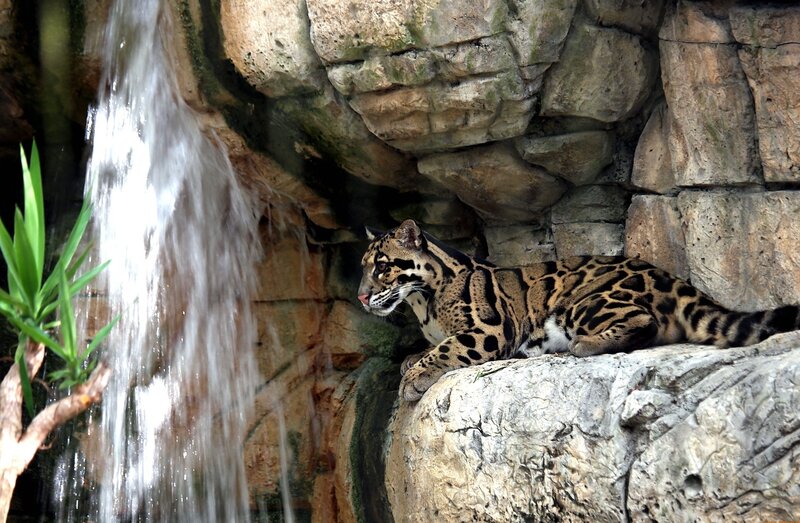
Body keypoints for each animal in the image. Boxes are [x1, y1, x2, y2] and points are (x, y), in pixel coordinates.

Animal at [357, 219, 800, 401]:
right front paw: (410, 360)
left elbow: (446, 349)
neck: (422, 302)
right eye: (363, 267)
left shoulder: (490, 328)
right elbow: (429, 347)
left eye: (382, 267)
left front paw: (415, 376)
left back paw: (584, 346)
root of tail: (669, 277)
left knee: (646, 322)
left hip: (580, 303)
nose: (360, 297)